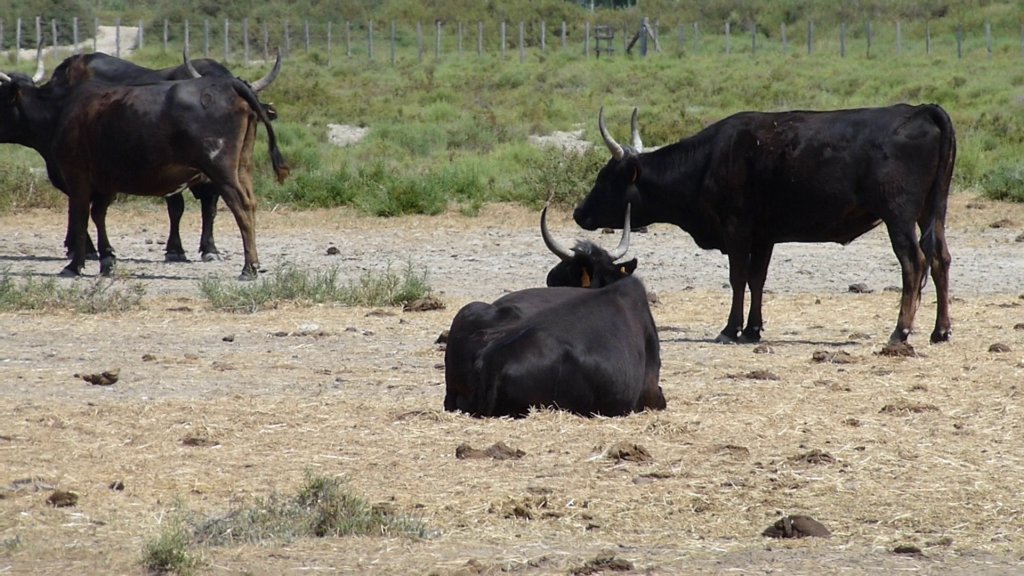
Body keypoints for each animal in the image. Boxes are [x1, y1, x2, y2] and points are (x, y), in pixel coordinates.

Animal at [573, 105, 954, 342]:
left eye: (605, 178)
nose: (579, 213)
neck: (708, 161)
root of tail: (920, 109)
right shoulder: (764, 235)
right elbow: (757, 279)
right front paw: (753, 329)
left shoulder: (737, 228)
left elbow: (738, 277)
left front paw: (731, 329)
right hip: (932, 213)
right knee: (940, 260)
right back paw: (941, 330)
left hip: (899, 215)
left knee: (914, 262)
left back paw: (901, 331)